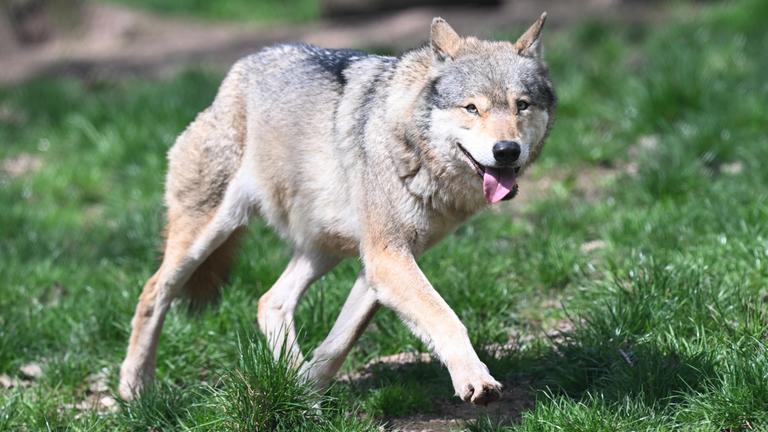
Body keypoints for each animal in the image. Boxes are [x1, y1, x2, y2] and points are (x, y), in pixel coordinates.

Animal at [119, 14, 555, 405]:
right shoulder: (387, 258)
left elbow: (340, 343)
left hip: (325, 248)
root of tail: (240, 70)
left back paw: (290, 380)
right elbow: (446, 318)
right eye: (471, 108)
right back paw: (134, 388)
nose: (507, 151)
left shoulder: (380, 264)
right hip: (206, 236)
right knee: (153, 291)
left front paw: (305, 393)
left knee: (270, 301)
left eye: (521, 105)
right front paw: (474, 379)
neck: (409, 144)